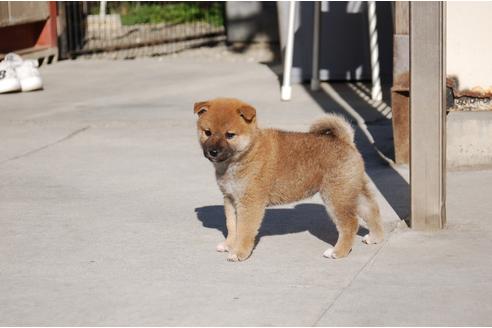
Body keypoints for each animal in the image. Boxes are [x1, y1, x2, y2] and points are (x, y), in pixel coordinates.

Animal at [194, 97, 382, 262]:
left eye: (230, 135)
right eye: (207, 132)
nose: (212, 152)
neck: (247, 153)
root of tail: (345, 141)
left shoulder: (250, 202)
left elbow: (245, 230)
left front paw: (239, 253)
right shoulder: (230, 198)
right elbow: (232, 226)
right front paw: (229, 245)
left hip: (336, 195)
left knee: (350, 223)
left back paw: (338, 252)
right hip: (351, 189)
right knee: (371, 209)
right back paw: (375, 237)